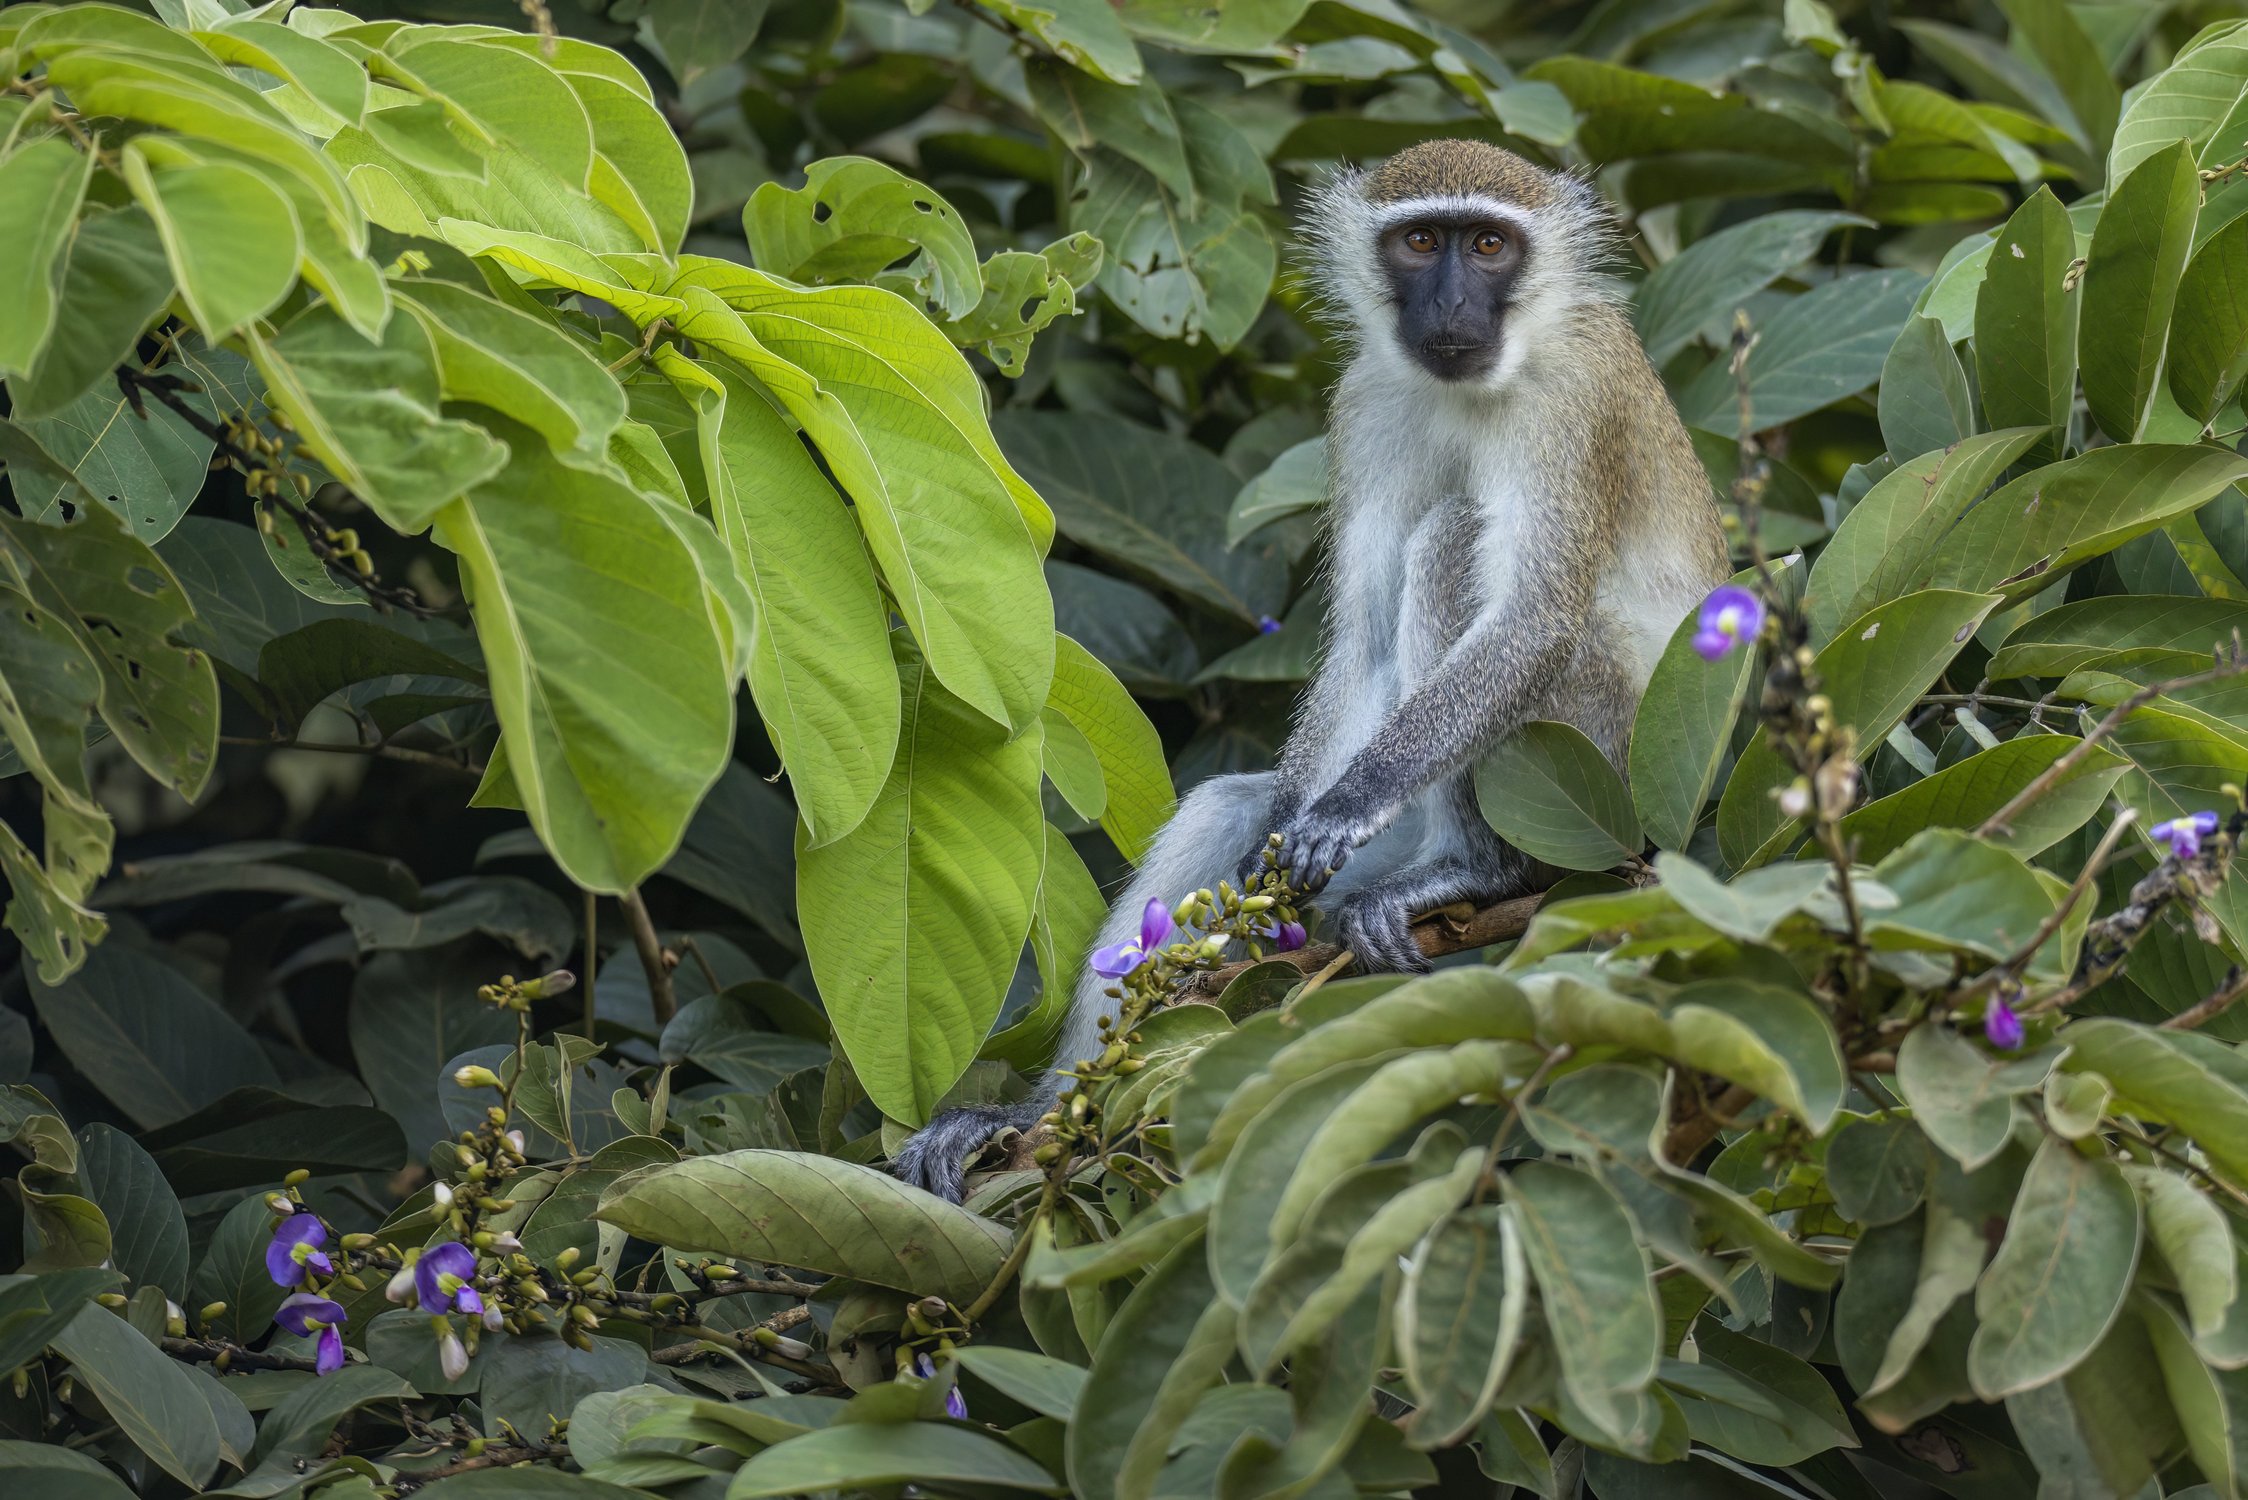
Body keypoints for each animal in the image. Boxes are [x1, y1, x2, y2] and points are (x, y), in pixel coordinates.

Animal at [894, 137, 1717, 1196]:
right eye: (1421, 242)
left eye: (1490, 245)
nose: (1451, 307)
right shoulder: (1366, 400)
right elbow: (1359, 643)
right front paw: (1286, 832)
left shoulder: (1575, 402)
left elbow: (1534, 620)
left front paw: (1348, 802)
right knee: (1226, 802)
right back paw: (1040, 1114)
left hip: (1601, 756)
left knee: (1452, 543)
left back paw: (1475, 871)